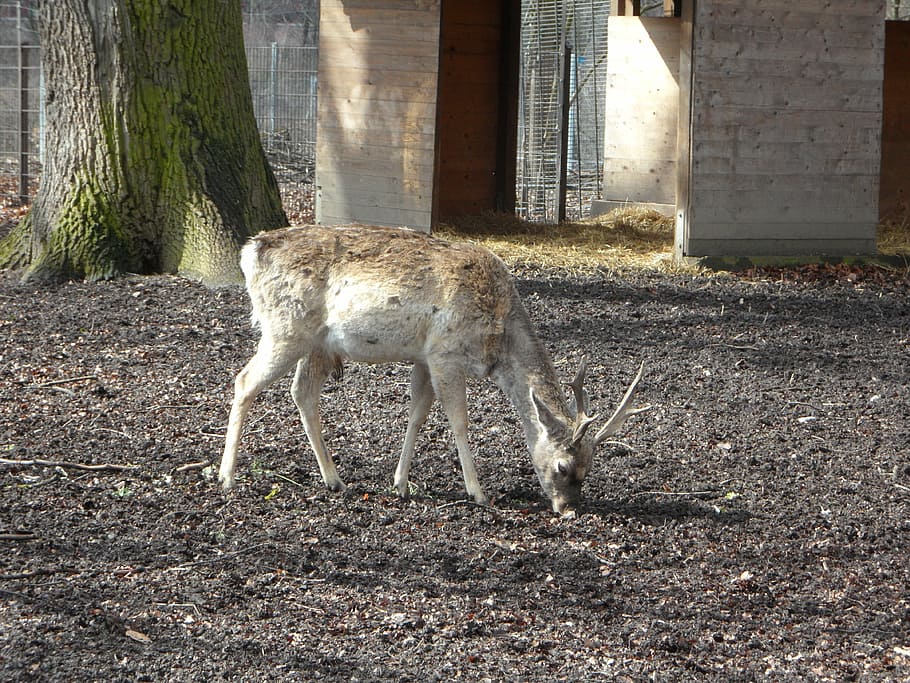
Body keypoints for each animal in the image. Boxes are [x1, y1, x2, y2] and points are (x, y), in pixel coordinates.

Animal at [218, 224, 649, 516]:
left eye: (589, 468)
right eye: (563, 465)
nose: (568, 508)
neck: (497, 331)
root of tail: (250, 251)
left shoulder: (423, 357)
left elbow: (417, 415)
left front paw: (401, 484)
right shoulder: (444, 352)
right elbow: (458, 420)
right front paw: (477, 492)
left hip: (318, 344)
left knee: (302, 392)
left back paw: (335, 479)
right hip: (285, 328)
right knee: (244, 381)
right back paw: (226, 477)